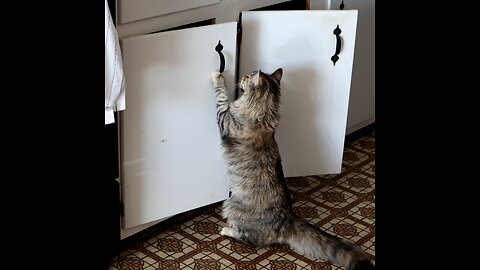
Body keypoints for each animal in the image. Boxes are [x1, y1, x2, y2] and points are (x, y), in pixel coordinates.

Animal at [211, 69, 376, 270]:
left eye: (248, 77)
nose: (242, 76)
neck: (264, 116)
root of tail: (288, 219)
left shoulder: (225, 119)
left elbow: (221, 97)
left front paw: (217, 76)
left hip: (230, 204)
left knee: (249, 239)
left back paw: (227, 230)